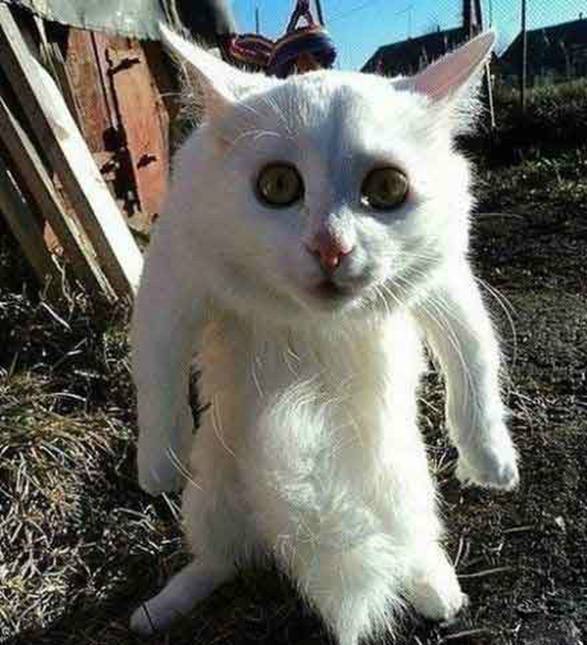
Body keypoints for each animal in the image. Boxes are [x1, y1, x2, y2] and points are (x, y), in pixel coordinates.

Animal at [130, 25, 519, 645]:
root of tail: (273, 535)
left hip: (407, 487)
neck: (313, 321)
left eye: (387, 187)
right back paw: (162, 606)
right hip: (210, 499)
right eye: (277, 185)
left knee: (412, 543)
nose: (330, 247)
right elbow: (156, 371)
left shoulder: (447, 280)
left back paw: (437, 591)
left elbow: (477, 359)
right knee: (220, 560)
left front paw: (491, 463)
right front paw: (158, 464)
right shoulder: (170, 275)